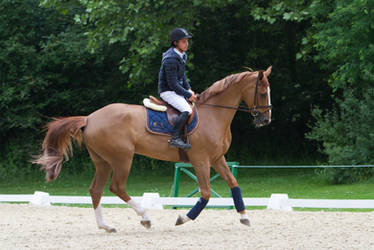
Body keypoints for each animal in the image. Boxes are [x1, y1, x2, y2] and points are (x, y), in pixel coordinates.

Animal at [33, 66, 272, 230]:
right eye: (262, 93)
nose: (265, 120)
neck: (213, 114)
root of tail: (90, 118)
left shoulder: (217, 158)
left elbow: (234, 184)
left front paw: (244, 216)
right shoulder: (200, 160)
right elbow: (205, 193)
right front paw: (183, 218)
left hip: (103, 161)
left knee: (96, 190)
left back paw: (106, 226)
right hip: (122, 158)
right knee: (116, 187)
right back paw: (145, 217)